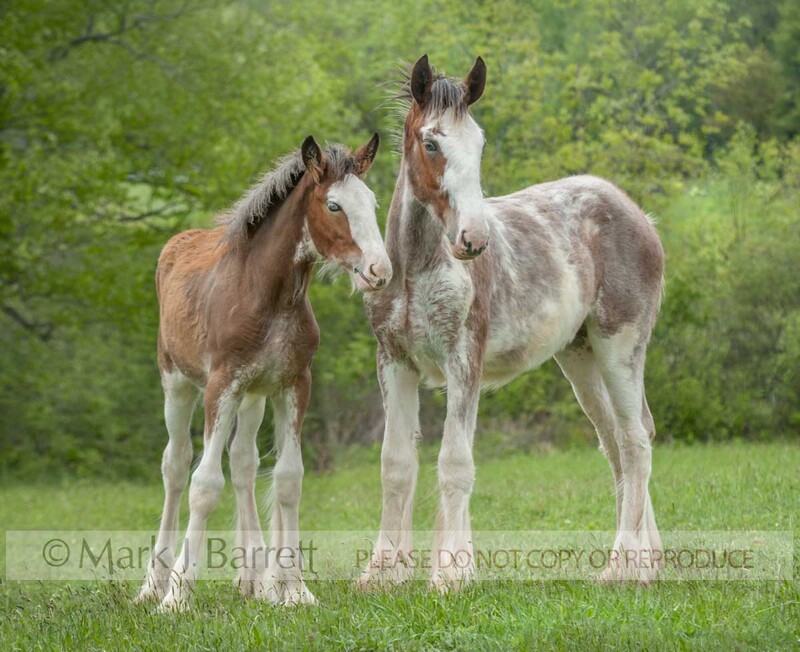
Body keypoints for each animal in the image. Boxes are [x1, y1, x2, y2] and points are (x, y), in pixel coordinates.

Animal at [135, 134, 391, 610]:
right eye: (333, 206)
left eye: (372, 202)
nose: (379, 271)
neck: (267, 296)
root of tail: (177, 243)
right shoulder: (221, 386)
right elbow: (204, 484)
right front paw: (177, 596)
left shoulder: (293, 384)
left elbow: (288, 479)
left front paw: (293, 588)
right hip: (177, 383)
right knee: (175, 466)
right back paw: (152, 585)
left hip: (252, 396)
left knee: (243, 462)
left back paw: (252, 578)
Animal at [359, 55, 665, 592]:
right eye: (431, 143)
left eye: (479, 142)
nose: (473, 239)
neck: (416, 269)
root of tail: (640, 216)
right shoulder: (395, 363)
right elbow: (395, 464)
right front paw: (382, 574)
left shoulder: (464, 362)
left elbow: (454, 462)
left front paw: (451, 573)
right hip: (581, 359)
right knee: (617, 443)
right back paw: (648, 563)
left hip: (620, 347)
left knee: (634, 443)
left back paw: (622, 567)